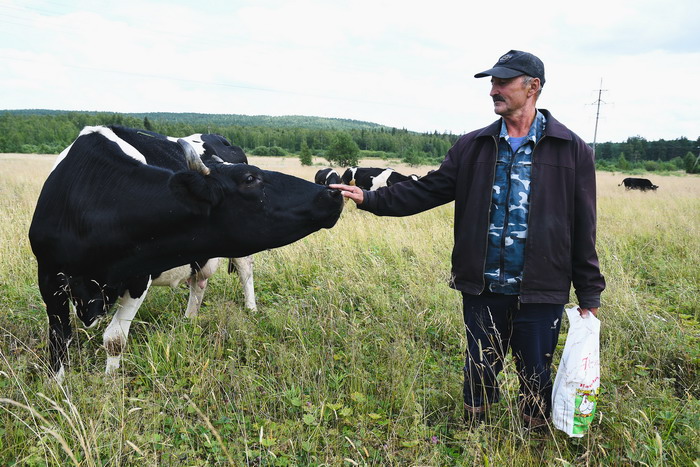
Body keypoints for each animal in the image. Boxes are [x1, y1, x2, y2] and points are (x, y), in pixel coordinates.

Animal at [31, 126, 344, 382]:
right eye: (250, 178)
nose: (333, 193)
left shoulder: (139, 275)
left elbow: (114, 339)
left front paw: (110, 383)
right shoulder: (48, 276)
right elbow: (59, 338)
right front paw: (57, 388)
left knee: (245, 270)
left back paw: (250, 308)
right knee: (198, 280)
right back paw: (189, 319)